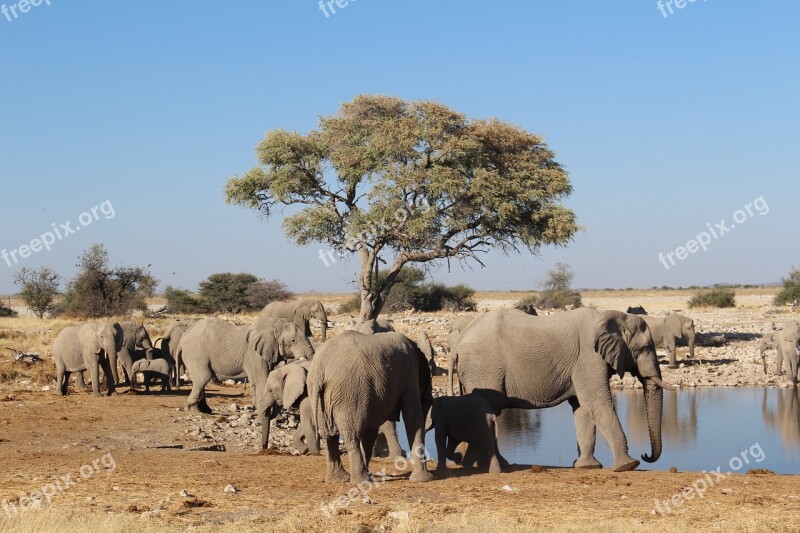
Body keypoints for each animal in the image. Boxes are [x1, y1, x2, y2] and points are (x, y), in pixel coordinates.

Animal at [181, 318, 316, 442]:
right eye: (292, 341)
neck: (273, 325)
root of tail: (186, 333)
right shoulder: (254, 354)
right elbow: (262, 381)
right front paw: (262, 420)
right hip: (196, 353)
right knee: (203, 378)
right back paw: (194, 410)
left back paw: (205, 410)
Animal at [308, 330, 432, 484]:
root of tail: (320, 368)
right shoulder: (410, 375)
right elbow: (413, 417)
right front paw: (424, 479)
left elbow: (370, 429)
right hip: (349, 394)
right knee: (352, 436)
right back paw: (360, 480)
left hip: (319, 395)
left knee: (328, 436)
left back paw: (339, 479)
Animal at [454, 306, 672, 472]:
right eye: (645, 348)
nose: (646, 455)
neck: (611, 315)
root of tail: (460, 338)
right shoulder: (589, 357)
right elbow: (596, 404)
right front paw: (628, 465)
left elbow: (583, 409)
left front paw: (587, 466)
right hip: (483, 368)